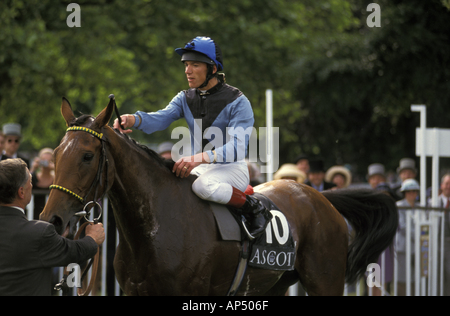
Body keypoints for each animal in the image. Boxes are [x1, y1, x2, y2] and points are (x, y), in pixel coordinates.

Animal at [39, 97, 398, 296]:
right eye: (55, 154)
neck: (153, 230)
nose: (51, 219)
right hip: (276, 285)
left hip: (325, 280)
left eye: (87, 156)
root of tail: (321, 197)